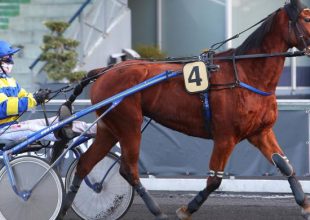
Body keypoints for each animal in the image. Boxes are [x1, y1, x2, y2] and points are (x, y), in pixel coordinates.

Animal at [58, 0, 310, 219]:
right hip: (128, 124)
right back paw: (158, 211)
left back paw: (65, 208)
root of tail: (104, 71)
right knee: (127, 169)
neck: (247, 74)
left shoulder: (260, 132)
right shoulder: (225, 136)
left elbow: (286, 166)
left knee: (85, 164)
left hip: (109, 127)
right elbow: (215, 180)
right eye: (306, 18)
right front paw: (187, 209)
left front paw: (304, 205)